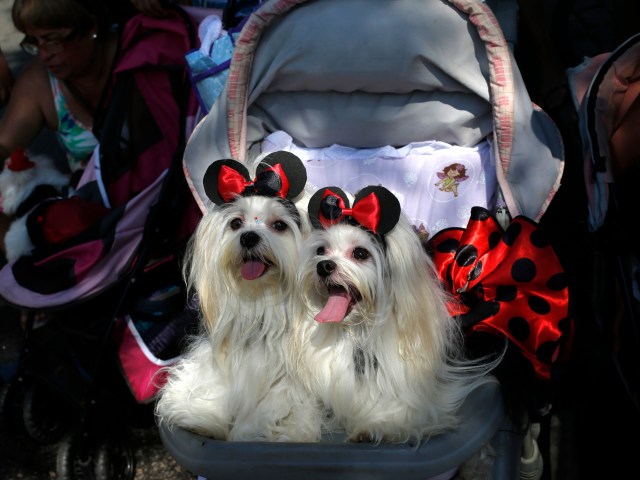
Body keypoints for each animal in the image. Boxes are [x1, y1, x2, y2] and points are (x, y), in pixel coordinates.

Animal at [156, 152, 324, 440]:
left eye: (279, 225)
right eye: (236, 223)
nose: (248, 237)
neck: (262, 302)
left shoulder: (289, 383)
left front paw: (252, 431)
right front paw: (202, 416)